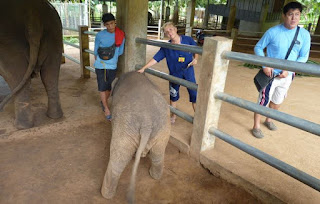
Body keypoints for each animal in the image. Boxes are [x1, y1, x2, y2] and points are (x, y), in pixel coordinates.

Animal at [0, 0, 63, 128]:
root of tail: (32, 10)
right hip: (55, 32)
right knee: (50, 76)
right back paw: (54, 117)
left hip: (7, 42)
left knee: (16, 78)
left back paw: (21, 127)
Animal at [102, 71, 172, 202]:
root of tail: (147, 122)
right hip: (163, 129)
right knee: (158, 154)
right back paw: (154, 176)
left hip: (126, 130)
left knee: (118, 160)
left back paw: (106, 195)